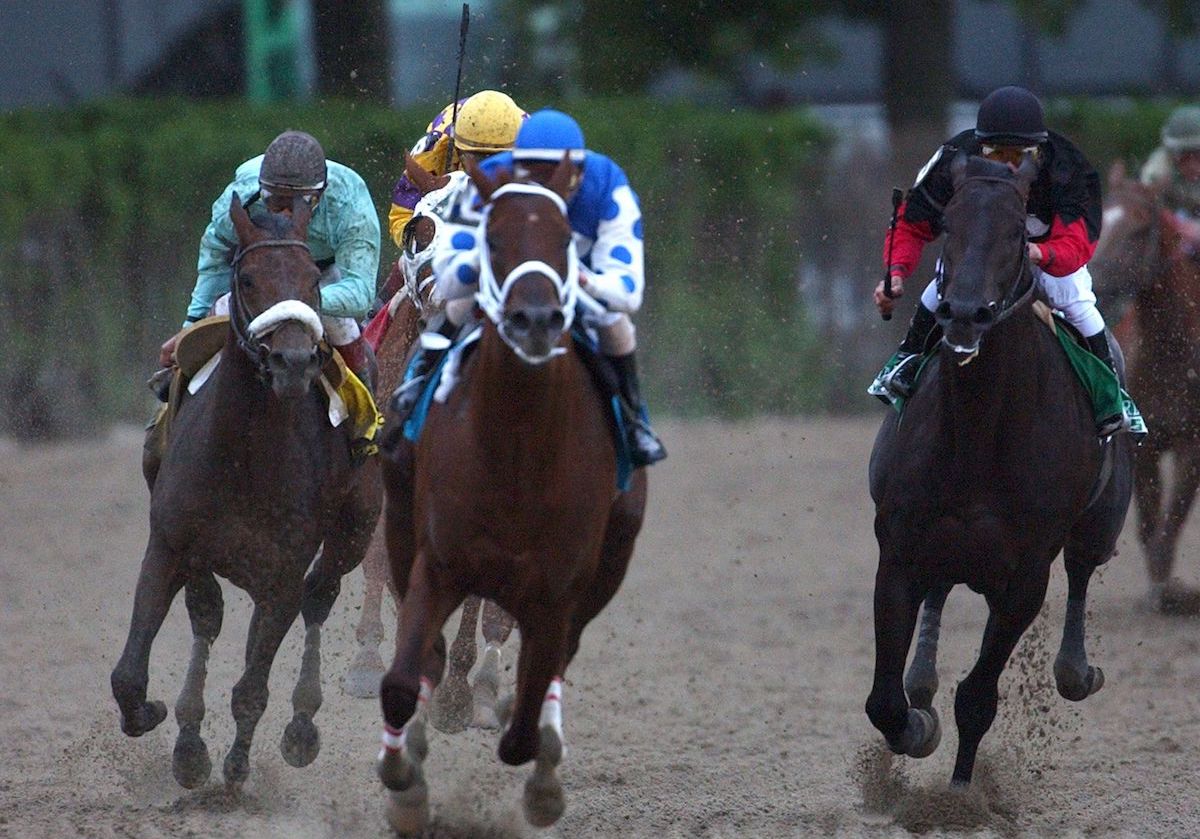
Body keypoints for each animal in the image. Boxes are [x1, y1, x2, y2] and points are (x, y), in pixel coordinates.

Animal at [109, 193, 379, 792]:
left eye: (312, 280)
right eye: (249, 278)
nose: (294, 362)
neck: (244, 454)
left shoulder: (280, 574)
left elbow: (252, 687)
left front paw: (234, 771)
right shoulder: (170, 546)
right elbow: (130, 674)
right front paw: (168, 727)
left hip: (356, 531)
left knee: (320, 596)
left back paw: (302, 726)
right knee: (207, 614)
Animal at [376, 160, 648, 830]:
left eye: (567, 241)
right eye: (420, 229)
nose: (534, 320)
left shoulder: (553, 587)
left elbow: (520, 687)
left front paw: (485, 705)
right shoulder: (431, 553)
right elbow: (409, 662)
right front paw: (411, 771)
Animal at [868, 156, 1128, 787]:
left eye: (1017, 231)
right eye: (948, 224)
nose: (964, 313)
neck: (980, 432)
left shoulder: (1024, 576)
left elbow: (977, 700)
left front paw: (961, 795)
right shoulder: (900, 549)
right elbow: (885, 701)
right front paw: (917, 728)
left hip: (1100, 521)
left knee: (1082, 570)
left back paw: (1077, 669)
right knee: (937, 603)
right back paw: (922, 680)